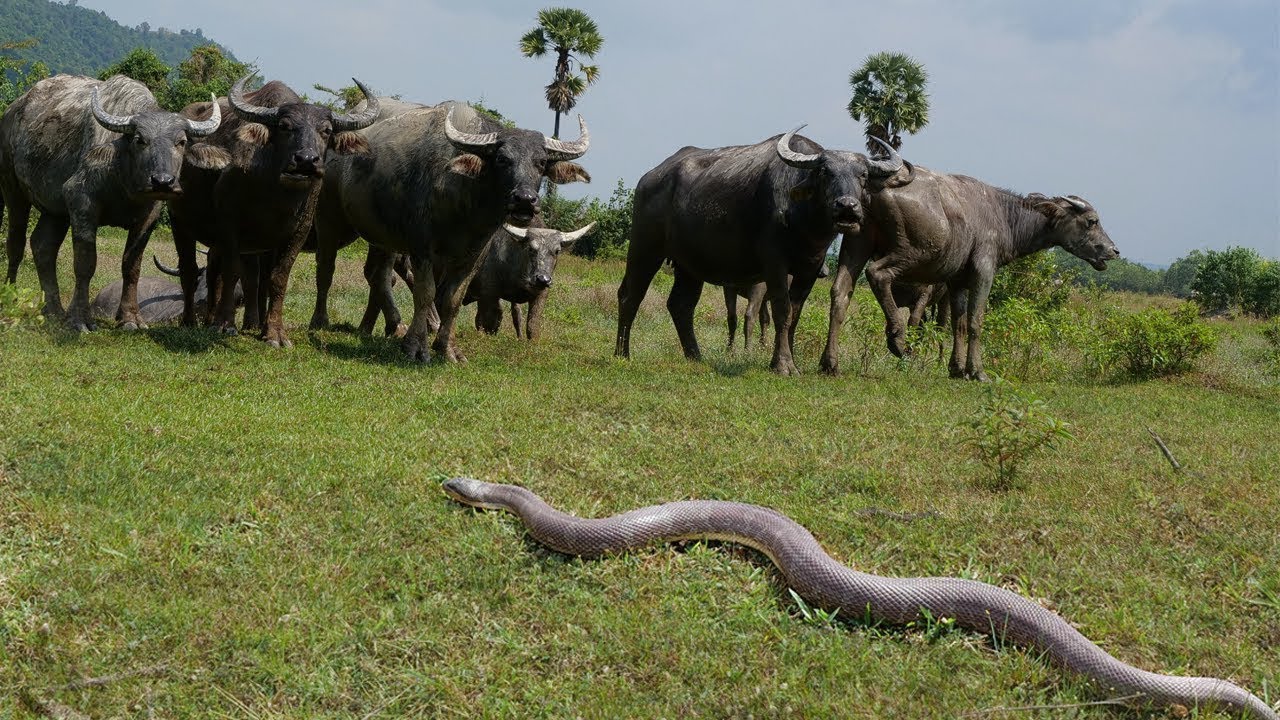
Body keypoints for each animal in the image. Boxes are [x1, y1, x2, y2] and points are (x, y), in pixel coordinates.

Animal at [0, 74, 223, 330]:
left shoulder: (149, 216)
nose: (163, 182)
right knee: (16, 244)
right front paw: (79, 319)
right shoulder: (81, 201)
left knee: (42, 246)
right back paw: (11, 298)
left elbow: (131, 265)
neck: (124, 178)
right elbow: (85, 263)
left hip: (54, 210)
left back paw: (53, 311)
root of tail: (12, 111)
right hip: (12, 189)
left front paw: (130, 318)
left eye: (182, 141)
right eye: (139, 140)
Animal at [616, 128, 902, 375]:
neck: (803, 221)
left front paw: (789, 360)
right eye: (825, 172)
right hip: (644, 248)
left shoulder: (810, 269)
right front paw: (783, 365)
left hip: (688, 265)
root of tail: (649, 178)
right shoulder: (774, 264)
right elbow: (781, 310)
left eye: (862, 175)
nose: (847, 206)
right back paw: (622, 354)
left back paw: (695, 356)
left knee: (680, 305)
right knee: (630, 296)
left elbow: (795, 314)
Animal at [821, 164, 1118, 379]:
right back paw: (898, 340)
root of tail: (878, 186)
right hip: (915, 252)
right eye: (1092, 221)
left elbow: (959, 325)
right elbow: (976, 321)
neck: (1004, 217)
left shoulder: (956, 283)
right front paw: (977, 371)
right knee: (878, 274)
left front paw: (956, 369)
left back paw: (830, 363)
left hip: (856, 245)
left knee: (840, 293)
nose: (1113, 251)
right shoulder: (983, 272)